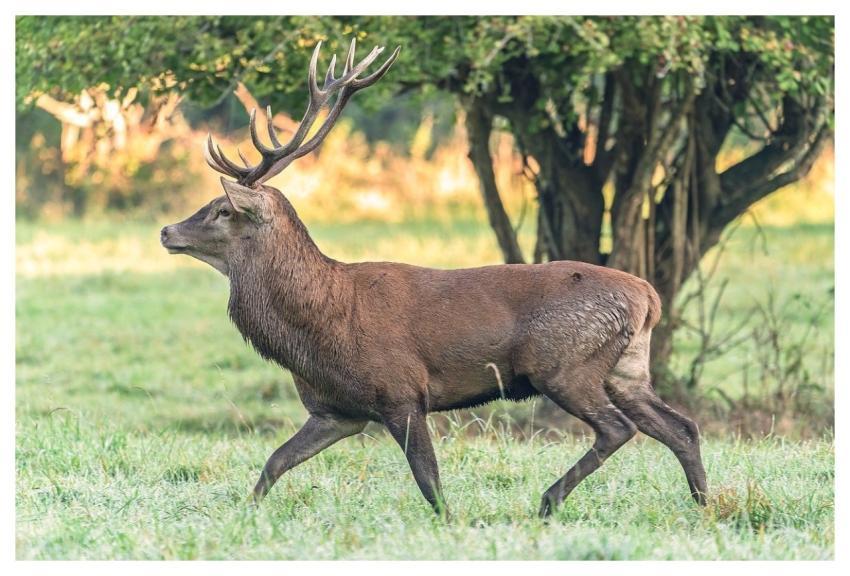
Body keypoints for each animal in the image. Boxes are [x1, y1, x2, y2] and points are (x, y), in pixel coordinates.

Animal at [160, 38, 708, 518]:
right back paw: (704, 504)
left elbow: (429, 480)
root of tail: (649, 297)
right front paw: (243, 514)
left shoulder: (401, 392)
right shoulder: (337, 411)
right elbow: (275, 462)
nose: (167, 231)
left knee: (618, 429)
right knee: (681, 427)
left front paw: (453, 522)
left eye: (221, 209)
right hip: (627, 368)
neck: (317, 328)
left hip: (565, 364)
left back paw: (550, 500)